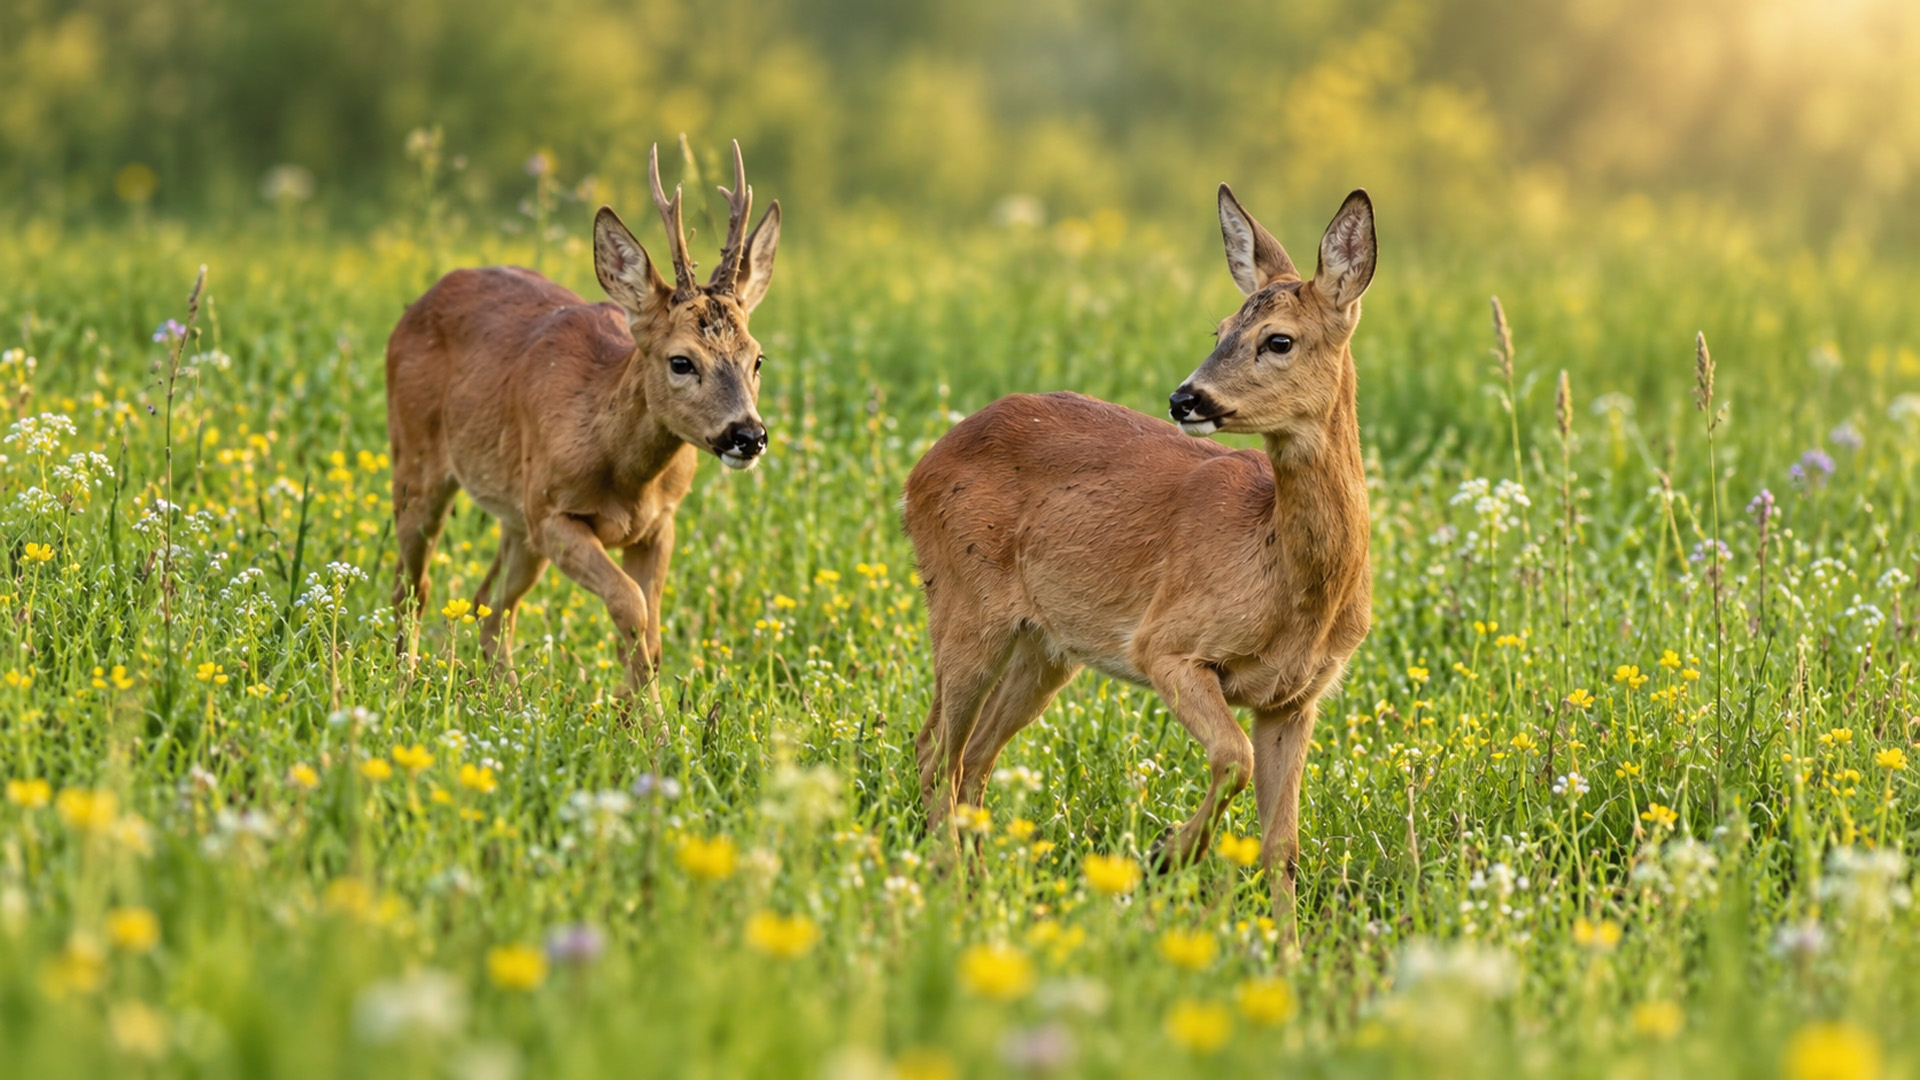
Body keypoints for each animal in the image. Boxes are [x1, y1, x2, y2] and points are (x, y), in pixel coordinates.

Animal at [386, 141, 781, 696]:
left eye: (757, 358)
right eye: (681, 361)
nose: (748, 435)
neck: (626, 477)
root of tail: (415, 304)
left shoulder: (660, 523)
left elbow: (651, 639)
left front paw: (637, 716)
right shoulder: (550, 510)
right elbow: (632, 609)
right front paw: (641, 716)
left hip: (514, 517)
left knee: (490, 608)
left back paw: (506, 700)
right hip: (418, 462)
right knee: (413, 587)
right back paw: (404, 684)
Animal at [903, 186, 1375, 942]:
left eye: (1278, 339)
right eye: (1219, 328)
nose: (1187, 398)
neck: (1286, 580)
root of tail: (920, 467)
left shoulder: (1296, 698)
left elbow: (1282, 845)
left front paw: (1289, 953)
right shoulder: (1166, 645)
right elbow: (1231, 758)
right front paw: (1164, 856)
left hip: (1046, 648)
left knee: (974, 756)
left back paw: (980, 895)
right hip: (963, 606)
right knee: (934, 749)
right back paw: (951, 890)